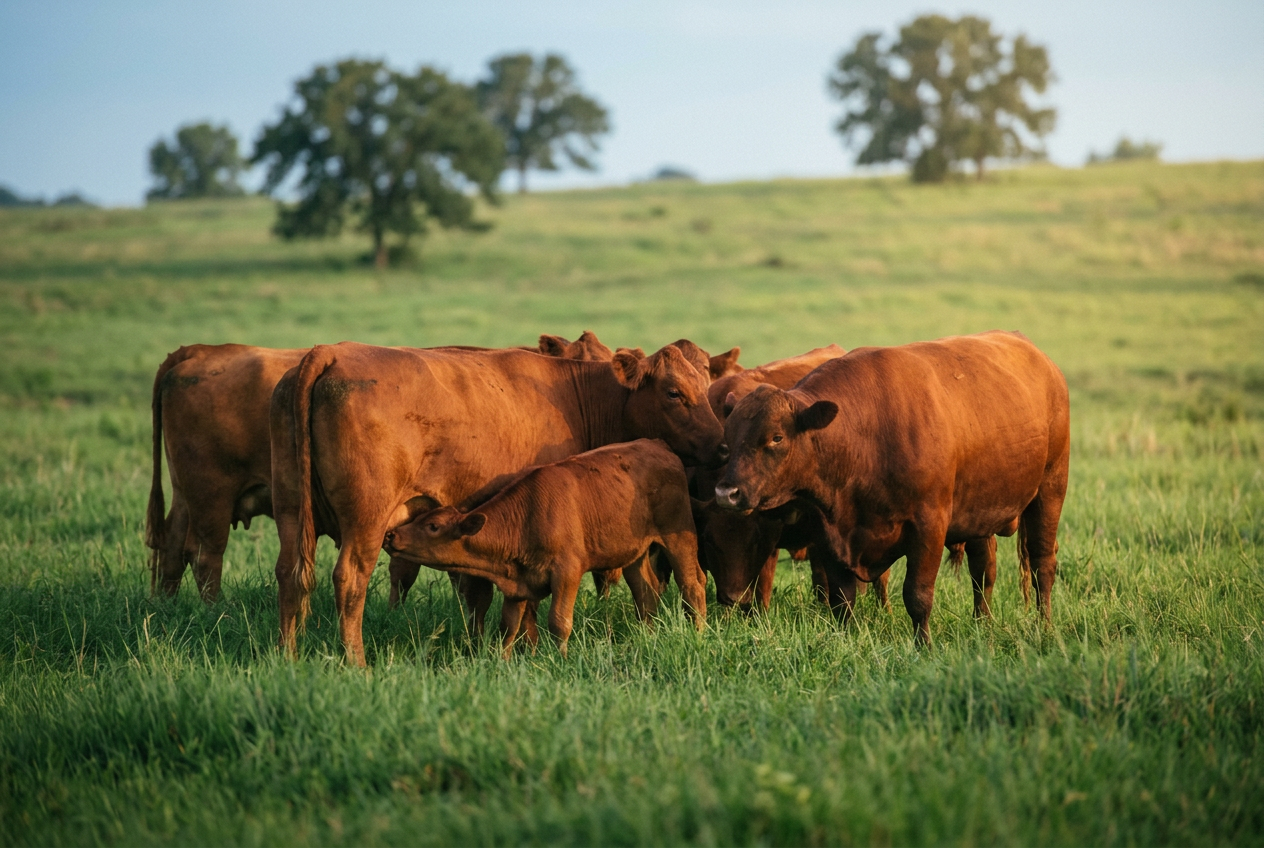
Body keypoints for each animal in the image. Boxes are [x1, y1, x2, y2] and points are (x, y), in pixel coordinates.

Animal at [382, 439, 706, 658]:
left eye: (433, 526)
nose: (391, 535)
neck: (526, 517)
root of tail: (656, 444)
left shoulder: (567, 572)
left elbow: (559, 621)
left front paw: (560, 659)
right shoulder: (517, 584)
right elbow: (508, 626)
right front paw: (502, 661)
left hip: (679, 537)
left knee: (693, 586)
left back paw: (699, 634)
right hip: (634, 552)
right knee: (646, 593)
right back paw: (647, 636)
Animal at [713, 331, 1069, 645]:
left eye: (776, 437)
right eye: (728, 438)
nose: (726, 493)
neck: (864, 438)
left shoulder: (929, 527)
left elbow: (917, 595)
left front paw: (923, 646)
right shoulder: (829, 533)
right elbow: (841, 599)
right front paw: (846, 640)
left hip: (1050, 489)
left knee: (1042, 564)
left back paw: (1046, 626)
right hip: (981, 513)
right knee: (984, 571)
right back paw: (982, 623)